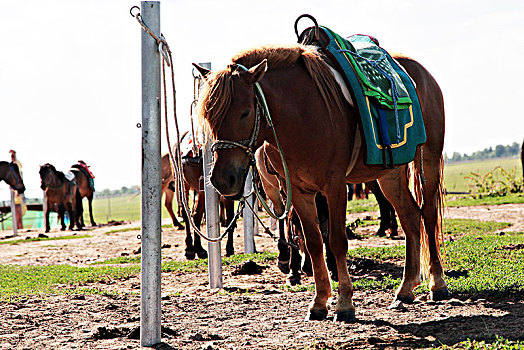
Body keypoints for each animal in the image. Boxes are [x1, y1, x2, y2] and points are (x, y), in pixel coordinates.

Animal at [194, 36, 448, 322]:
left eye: (245, 113)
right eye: (209, 116)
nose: (222, 179)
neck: (302, 116)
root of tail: (421, 73)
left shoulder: (334, 186)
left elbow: (337, 241)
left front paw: (345, 303)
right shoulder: (299, 191)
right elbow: (314, 242)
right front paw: (319, 302)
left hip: (428, 159)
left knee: (427, 215)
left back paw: (437, 284)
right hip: (390, 174)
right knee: (410, 217)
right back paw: (405, 289)